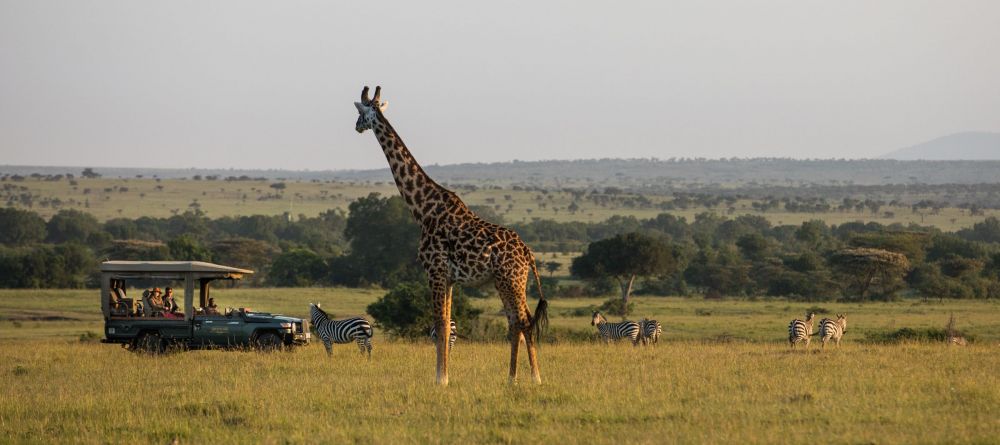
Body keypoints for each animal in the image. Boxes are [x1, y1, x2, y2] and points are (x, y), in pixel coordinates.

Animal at [356, 86, 552, 386]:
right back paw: (511, 378)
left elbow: (440, 324)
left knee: (523, 321)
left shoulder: (434, 271)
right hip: (505, 282)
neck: (422, 209)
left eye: (359, 112)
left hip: (511, 280)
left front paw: (440, 379)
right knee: (515, 322)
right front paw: (444, 376)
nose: (356, 127)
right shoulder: (448, 278)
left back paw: (535, 378)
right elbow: (446, 326)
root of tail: (528, 252)